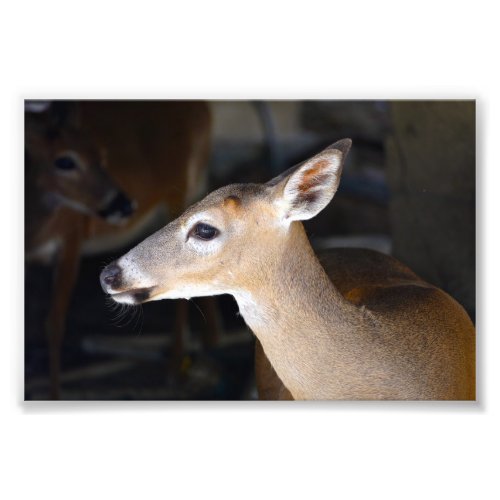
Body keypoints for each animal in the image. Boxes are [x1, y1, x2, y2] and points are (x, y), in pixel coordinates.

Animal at [25, 100, 213, 398]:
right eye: (64, 161)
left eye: (100, 154)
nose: (124, 205)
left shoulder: (71, 238)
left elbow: (54, 323)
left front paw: (55, 395)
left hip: (183, 187)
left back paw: (175, 368)